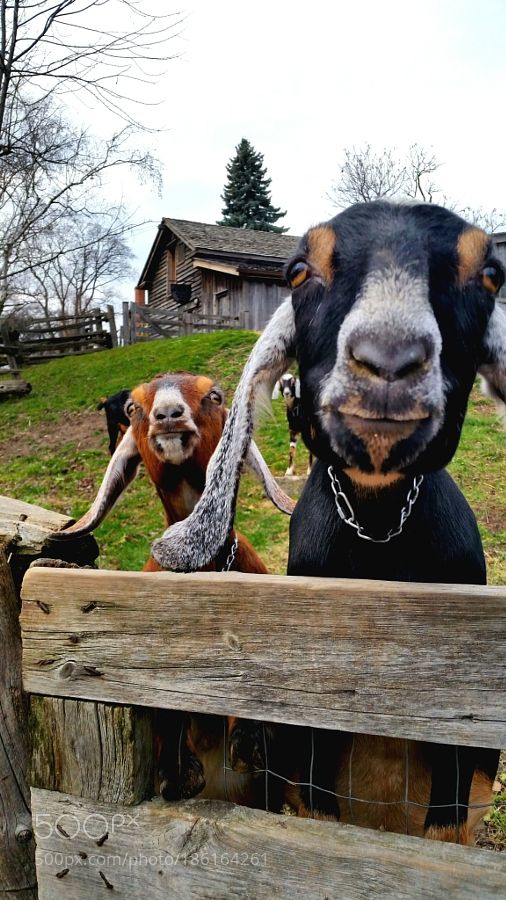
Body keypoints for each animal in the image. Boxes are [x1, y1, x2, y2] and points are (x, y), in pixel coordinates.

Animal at [152, 202, 506, 844]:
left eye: (490, 274)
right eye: (297, 271)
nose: (389, 360)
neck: (378, 531)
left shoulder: (462, 732)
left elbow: (445, 825)